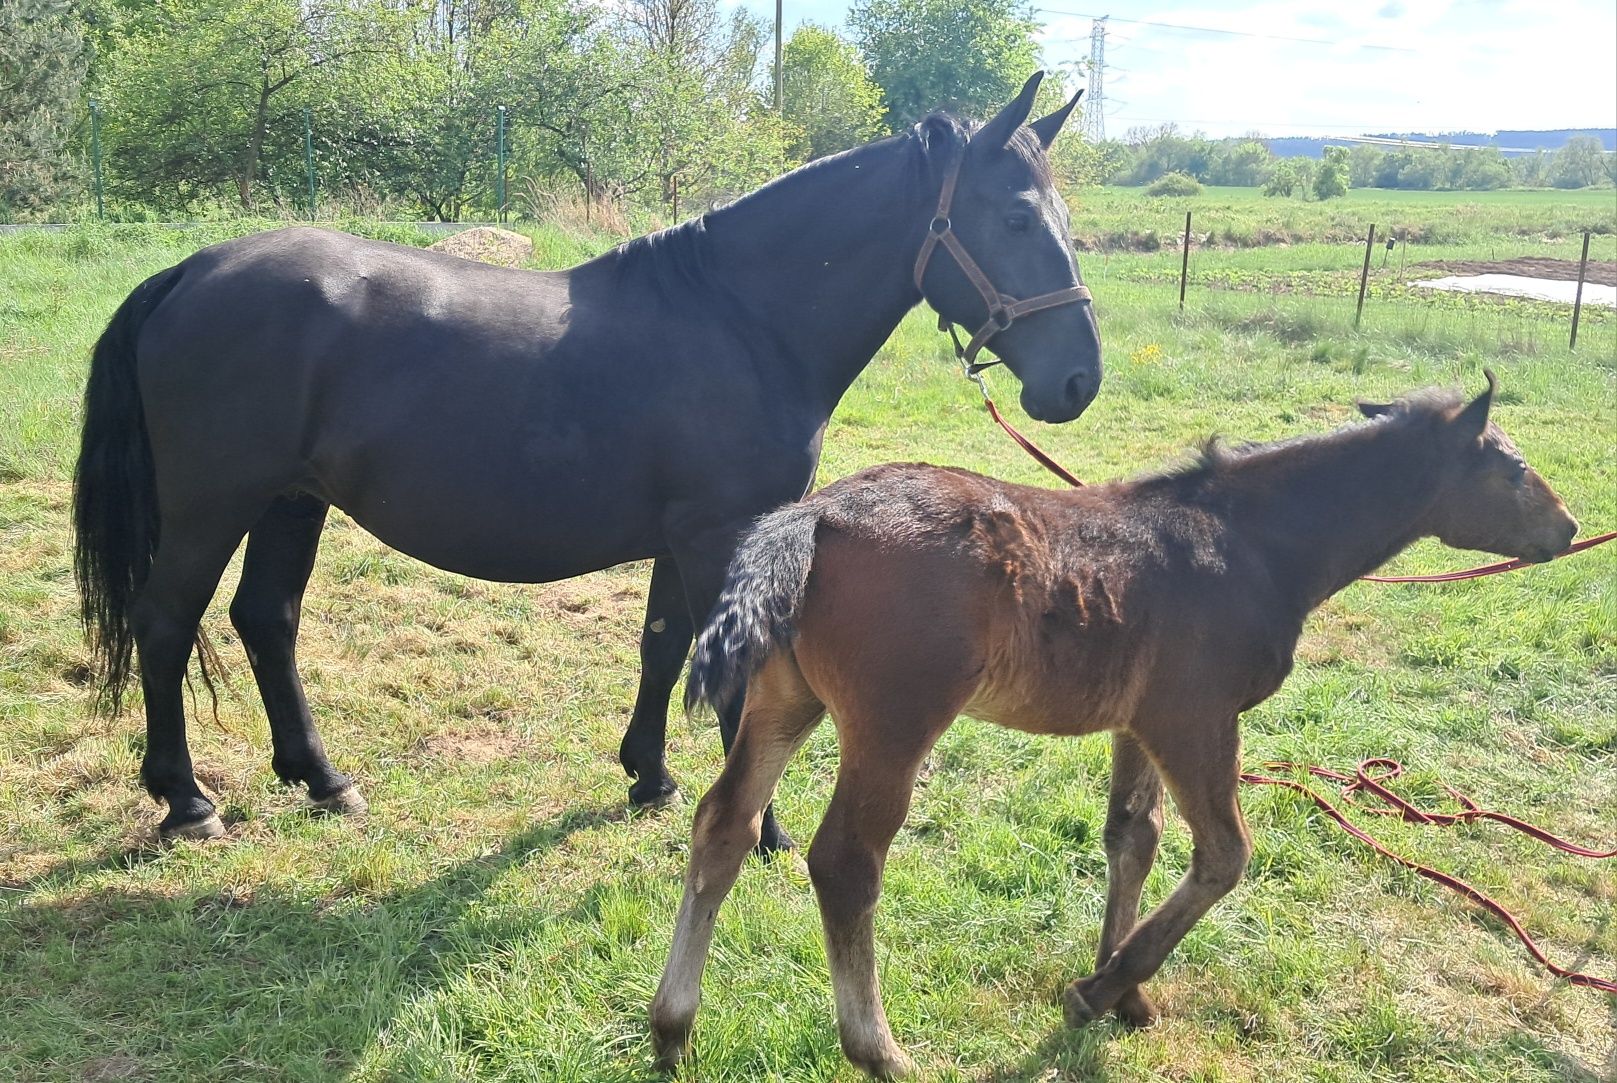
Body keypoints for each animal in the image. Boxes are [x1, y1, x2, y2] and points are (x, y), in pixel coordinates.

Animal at [66, 71, 1099, 853]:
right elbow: (731, 672)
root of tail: (188, 272)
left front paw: (649, 776)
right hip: (212, 504)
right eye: (1015, 216)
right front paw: (761, 831)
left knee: (265, 618)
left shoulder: (686, 536)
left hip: (291, 499)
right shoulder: (720, 534)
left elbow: (662, 645)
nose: (1078, 379)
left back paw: (321, 778)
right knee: (167, 622)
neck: (740, 320)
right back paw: (187, 800)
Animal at [646, 373, 1578, 1079]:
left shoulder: (1139, 722)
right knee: (845, 860)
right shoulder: (1195, 716)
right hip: (893, 722)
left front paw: (1119, 989)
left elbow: (1132, 837)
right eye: (1511, 469)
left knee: (723, 825)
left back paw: (671, 1026)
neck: (1252, 545)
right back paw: (878, 1051)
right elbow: (1223, 853)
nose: (1568, 528)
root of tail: (812, 515)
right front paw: (1099, 989)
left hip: (783, 701)